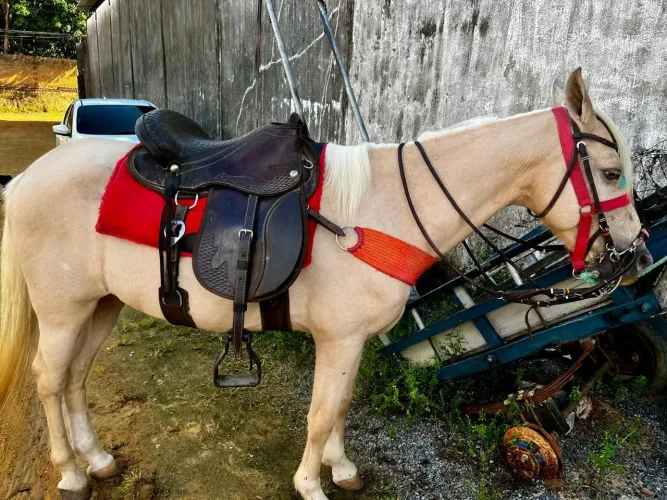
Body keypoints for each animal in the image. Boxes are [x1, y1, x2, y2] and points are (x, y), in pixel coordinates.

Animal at [0, 68, 652, 500]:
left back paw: (98, 459)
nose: (636, 250)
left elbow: (337, 409)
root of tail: (28, 178)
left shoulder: (352, 343)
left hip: (101, 305)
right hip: (62, 311)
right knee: (50, 381)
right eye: (610, 172)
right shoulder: (337, 340)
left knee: (76, 378)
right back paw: (71, 473)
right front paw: (311, 484)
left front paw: (341, 470)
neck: (384, 208)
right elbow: (320, 414)